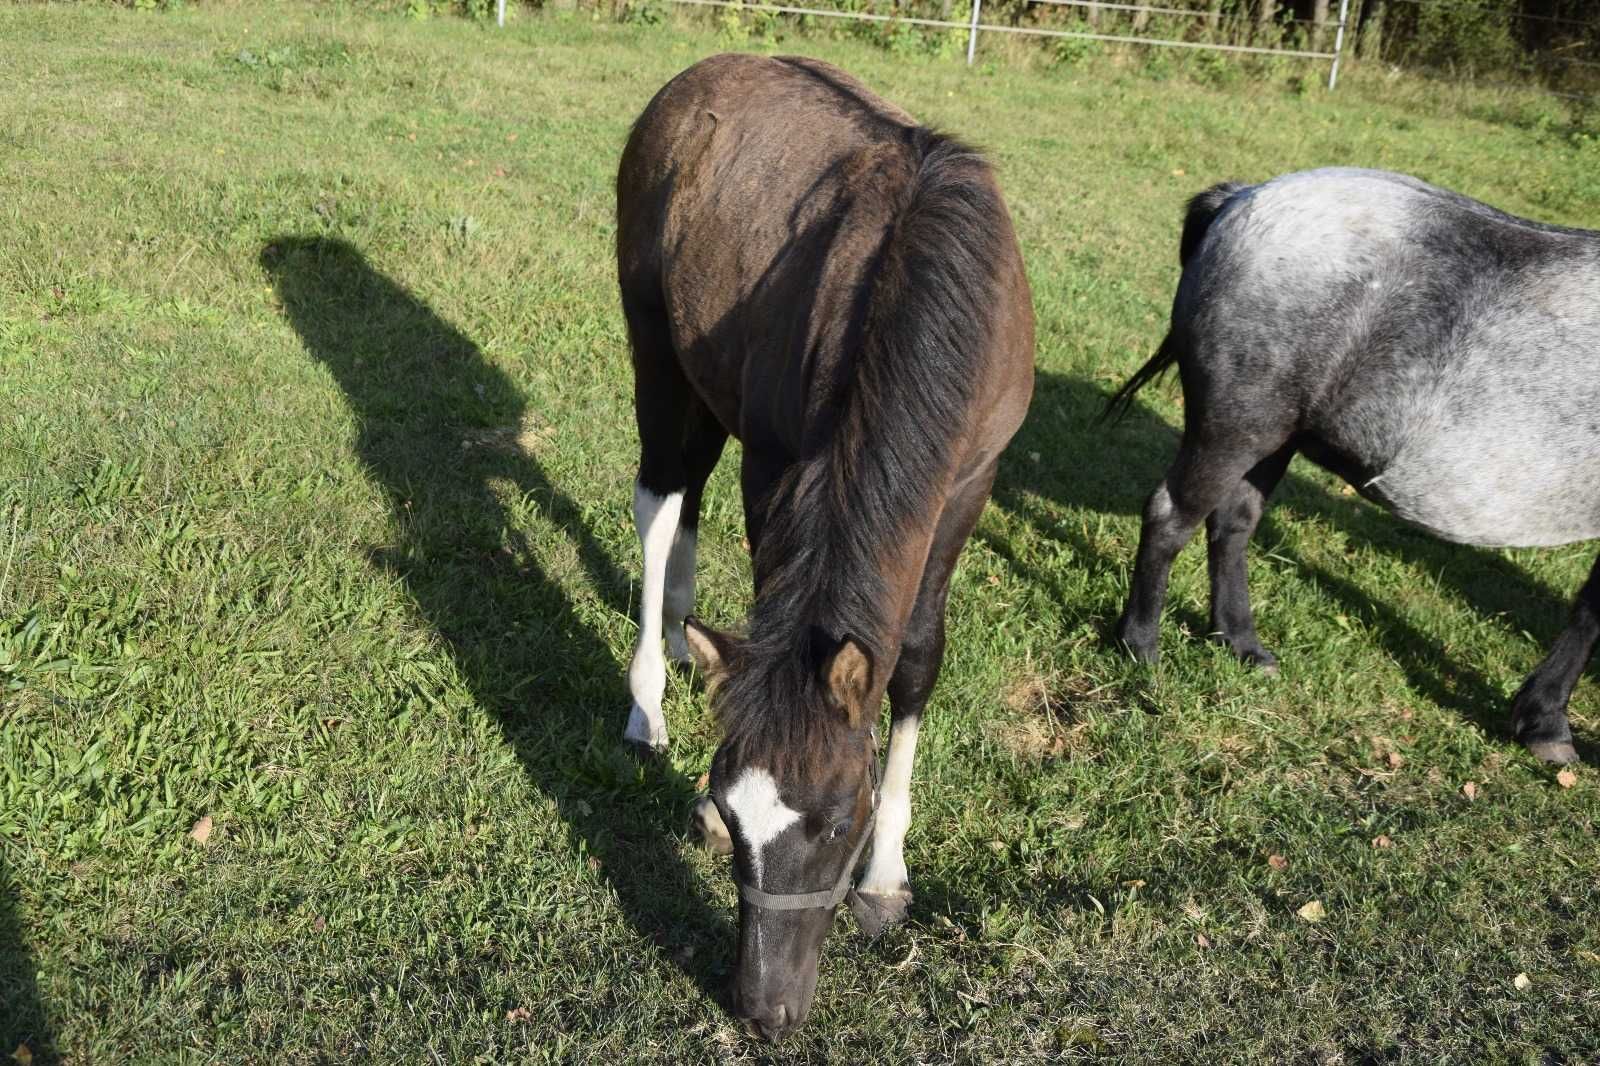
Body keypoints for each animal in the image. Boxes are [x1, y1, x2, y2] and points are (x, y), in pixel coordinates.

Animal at [611, 54, 1036, 1030]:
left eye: (842, 821)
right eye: (736, 816)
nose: (764, 1008)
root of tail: (694, 80)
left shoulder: (970, 484)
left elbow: (914, 658)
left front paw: (885, 880)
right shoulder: (777, 467)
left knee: (687, 496)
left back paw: (689, 640)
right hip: (656, 347)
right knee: (661, 500)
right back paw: (648, 697)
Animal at [1113, 166, 1600, 758]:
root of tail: (1245, 197)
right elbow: (1593, 614)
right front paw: (1546, 721)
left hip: (1273, 440)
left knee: (1232, 527)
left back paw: (1241, 643)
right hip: (1236, 429)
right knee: (1170, 518)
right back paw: (1140, 647)